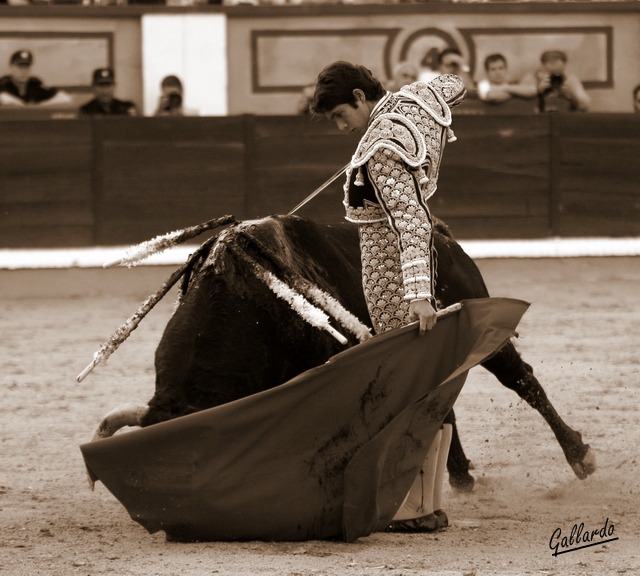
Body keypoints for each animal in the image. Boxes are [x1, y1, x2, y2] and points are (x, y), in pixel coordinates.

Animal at [125, 215, 596, 490]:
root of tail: (442, 236)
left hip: (487, 334)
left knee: (523, 381)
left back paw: (579, 456)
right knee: (440, 404)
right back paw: (459, 474)